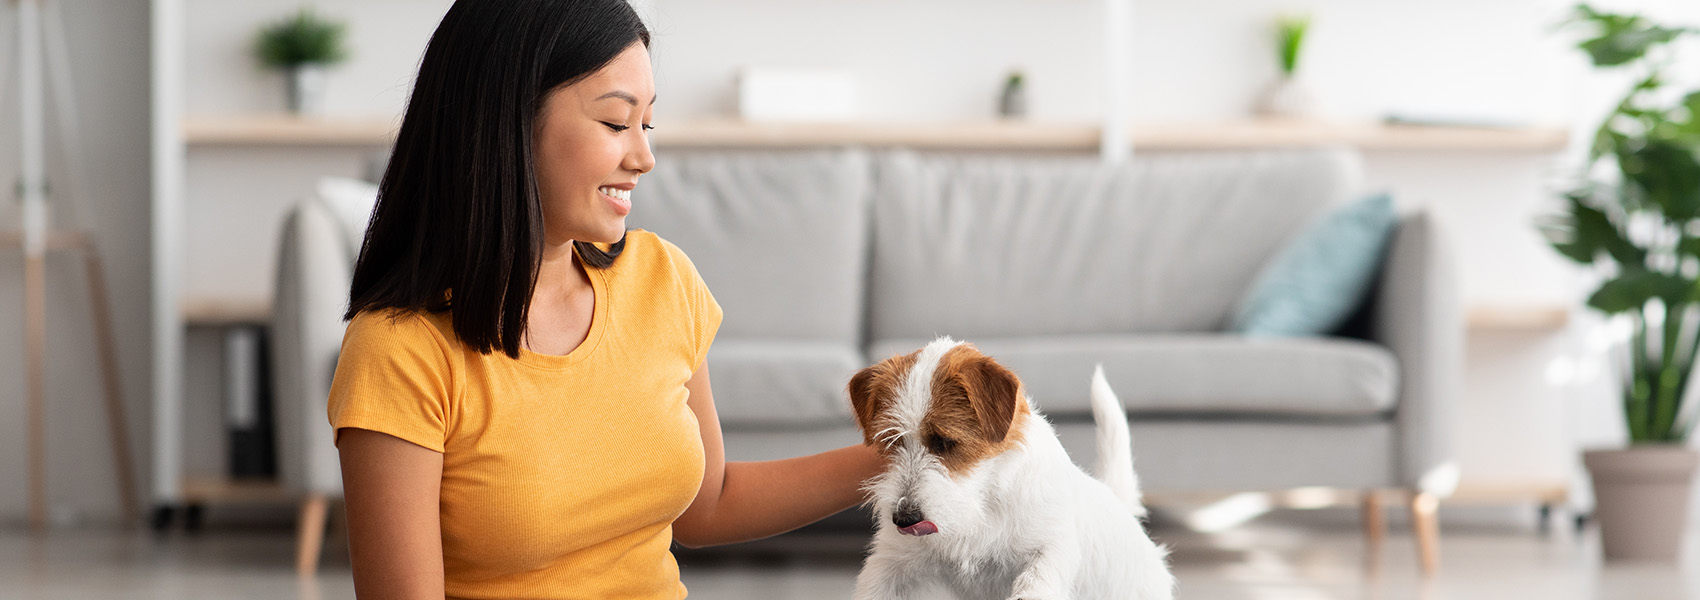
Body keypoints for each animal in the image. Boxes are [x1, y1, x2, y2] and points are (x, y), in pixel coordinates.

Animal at [846, 336, 1169, 598]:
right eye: (891, 441)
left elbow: (1036, 582)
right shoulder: (890, 564)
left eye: (944, 442)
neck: (980, 504)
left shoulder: (1051, 548)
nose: (903, 518)